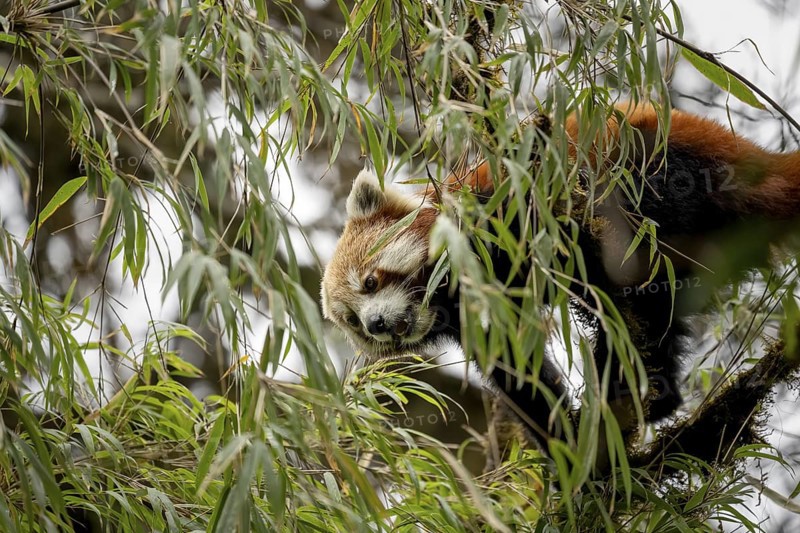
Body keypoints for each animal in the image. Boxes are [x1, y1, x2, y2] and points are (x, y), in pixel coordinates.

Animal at [320, 102, 800, 452]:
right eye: (352, 320)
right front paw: (561, 444)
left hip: (659, 166)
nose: (376, 324)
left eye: (370, 282)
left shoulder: (500, 208)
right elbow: (519, 370)